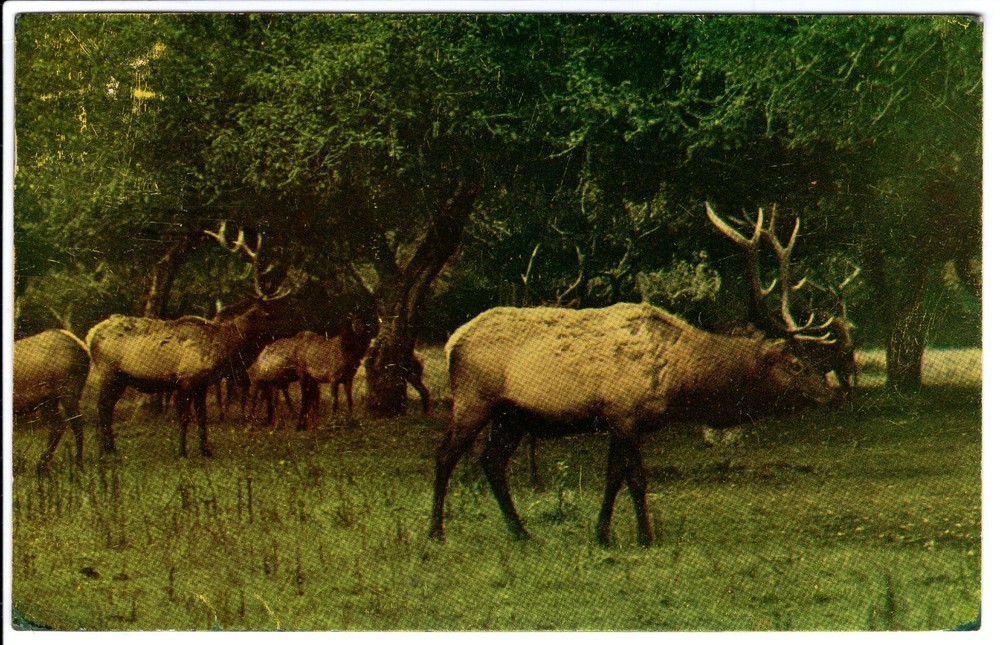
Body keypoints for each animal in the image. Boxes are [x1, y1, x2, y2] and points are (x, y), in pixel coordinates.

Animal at [13, 329, 90, 471]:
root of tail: (85, 351)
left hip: (67, 391)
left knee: (75, 424)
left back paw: (77, 465)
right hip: (48, 400)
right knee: (59, 425)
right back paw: (43, 464)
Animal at [86, 223, 289, 457]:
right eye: (269, 315)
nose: (292, 328)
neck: (222, 347)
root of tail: (90, 334)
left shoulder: (201, 383)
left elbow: (201, 417)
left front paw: (205, 450)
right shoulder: (185, 378)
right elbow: (185, 417)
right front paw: (182, 451)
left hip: (120, 378)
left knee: (107, 407)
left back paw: (111, 448)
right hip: (108, 370)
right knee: (101, 407)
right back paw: (105, 449)